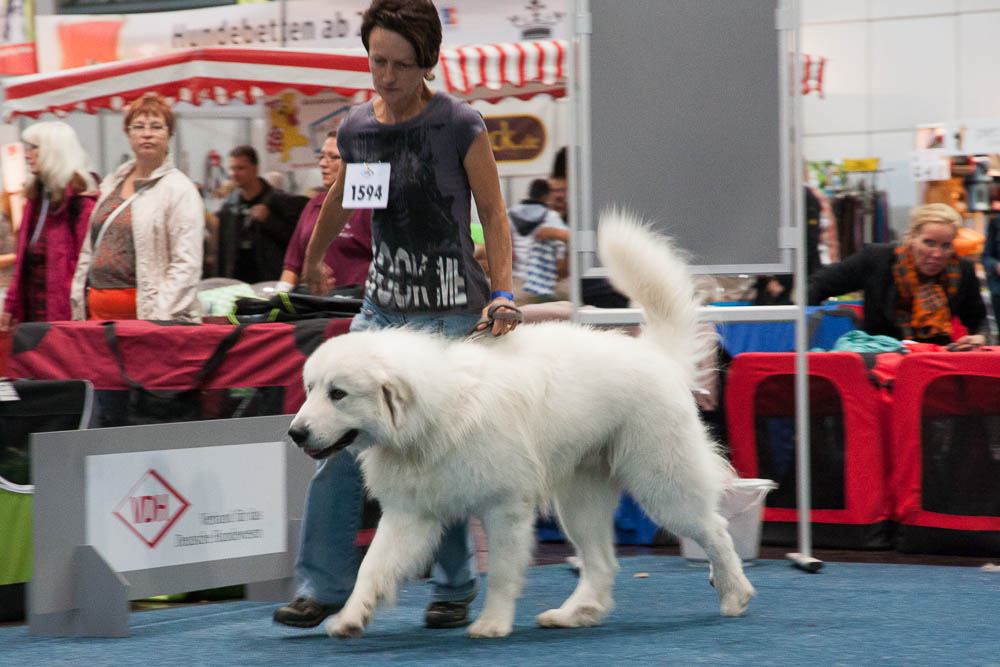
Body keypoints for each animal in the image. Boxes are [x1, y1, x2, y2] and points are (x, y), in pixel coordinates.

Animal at [288, 211, 752, 640]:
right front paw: (350, 617)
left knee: (715, 528)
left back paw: (734, 593)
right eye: (310, 388)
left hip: (661, 483)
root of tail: (655, 355)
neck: (434, 414)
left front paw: (492, 623)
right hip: (580, 499)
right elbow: (371, 567)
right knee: (602, 563)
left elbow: (500, 573)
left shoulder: (505, 507)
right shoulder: (410, 513)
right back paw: (575, 614)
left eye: (338, 394)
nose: (295, 433)